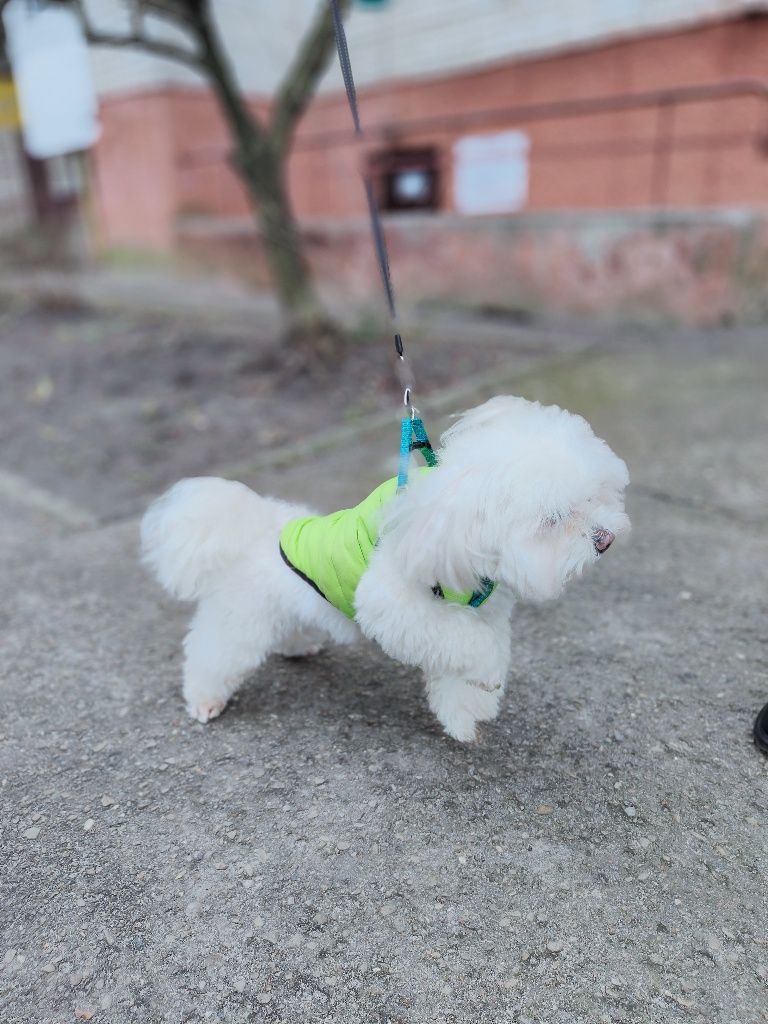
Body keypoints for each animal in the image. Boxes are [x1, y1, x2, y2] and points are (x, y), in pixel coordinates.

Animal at [140, 395, 630, 741]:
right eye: (553, 519)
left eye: (594, 495)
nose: (605, 541)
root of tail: (257, 529)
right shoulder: (394, 604)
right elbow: (472, 647)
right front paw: (487, 679)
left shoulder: (480, 611)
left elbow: (462, 664)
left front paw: (466, 713)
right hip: (240, 621)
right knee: (212, 654)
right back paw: (204, 699)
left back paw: (299, 646)